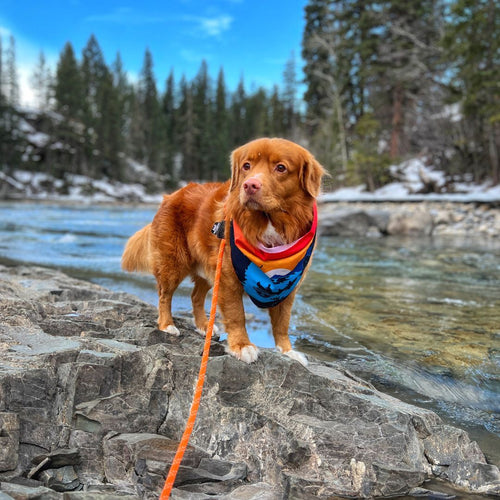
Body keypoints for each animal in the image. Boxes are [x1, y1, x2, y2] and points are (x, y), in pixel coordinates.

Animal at [121, 139, 324, 366]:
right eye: (246, 166)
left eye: (281, 168)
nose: (250, 185)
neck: (267, 223)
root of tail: (171, 195)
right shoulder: (229, 278)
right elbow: (237, 314)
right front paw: (242, 346)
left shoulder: (287, 286)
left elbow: (282, 322)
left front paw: (287, 351)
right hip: (173, 262)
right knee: (165, 295)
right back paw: (167, 325)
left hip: (209, 267)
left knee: (195, 296)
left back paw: (203, 326)